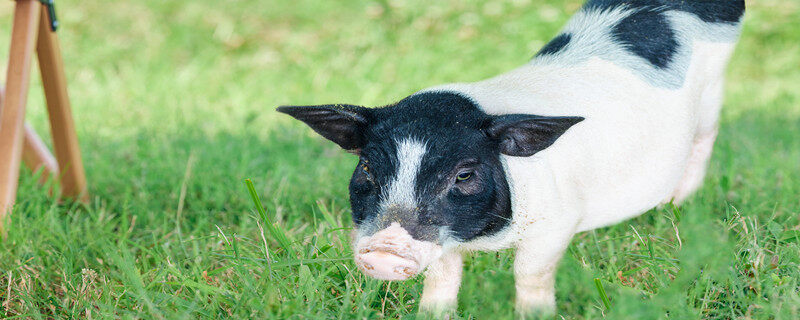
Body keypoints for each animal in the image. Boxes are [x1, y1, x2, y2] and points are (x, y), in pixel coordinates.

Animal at [278, 0, 748, 316]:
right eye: (367, 168)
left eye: (464, 174)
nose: (385, 251)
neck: (484, 238)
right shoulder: (443, 240)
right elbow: (443, 278)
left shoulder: (557, 222)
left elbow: (530, 275)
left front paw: (534, 314)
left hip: (713, 93)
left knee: (705, 140)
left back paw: (678, 206)